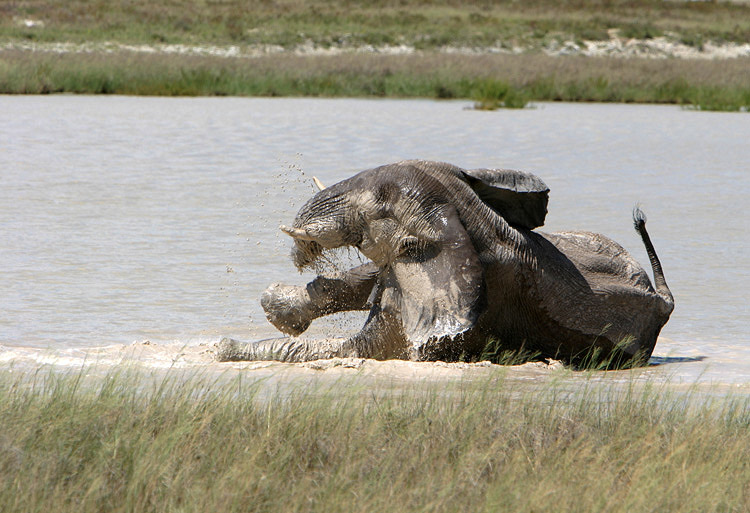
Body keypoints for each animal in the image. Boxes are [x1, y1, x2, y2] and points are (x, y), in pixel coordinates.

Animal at [216, 160, 676, 368]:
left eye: (378, 202)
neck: (470, 220)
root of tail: (665, 305)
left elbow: (351, 349)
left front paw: (225, 347)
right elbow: (365, 277)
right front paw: (274, 305)